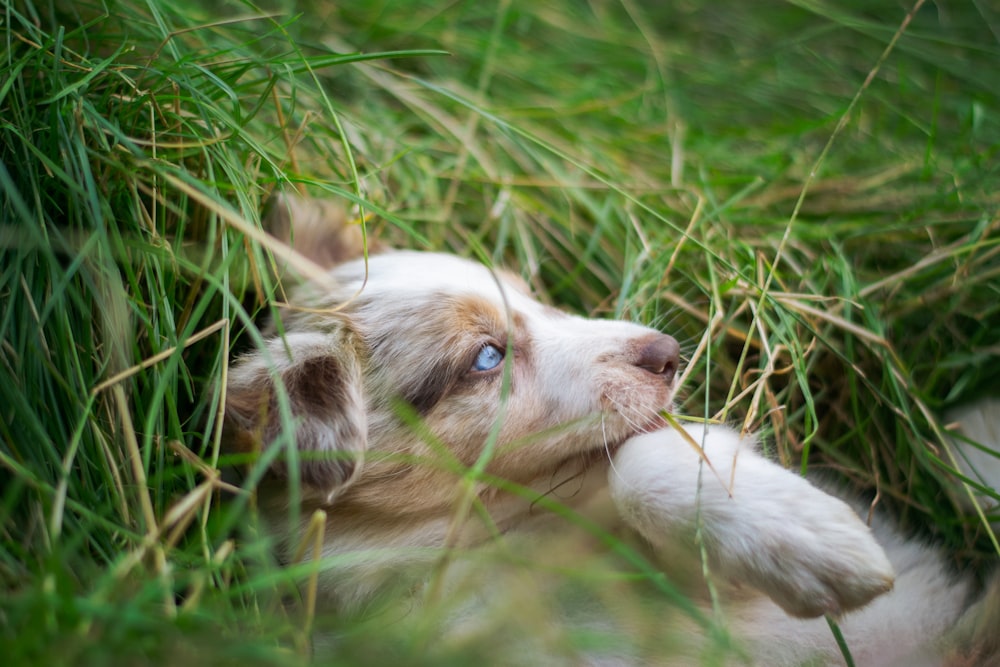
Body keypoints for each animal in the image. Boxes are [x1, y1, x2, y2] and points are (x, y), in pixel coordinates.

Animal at [227, 198, 1000, 667]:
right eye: (486, 358)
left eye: (538, 299)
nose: (669, 352)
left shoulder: (706, 590)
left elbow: (646, 460)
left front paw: (815, 539)